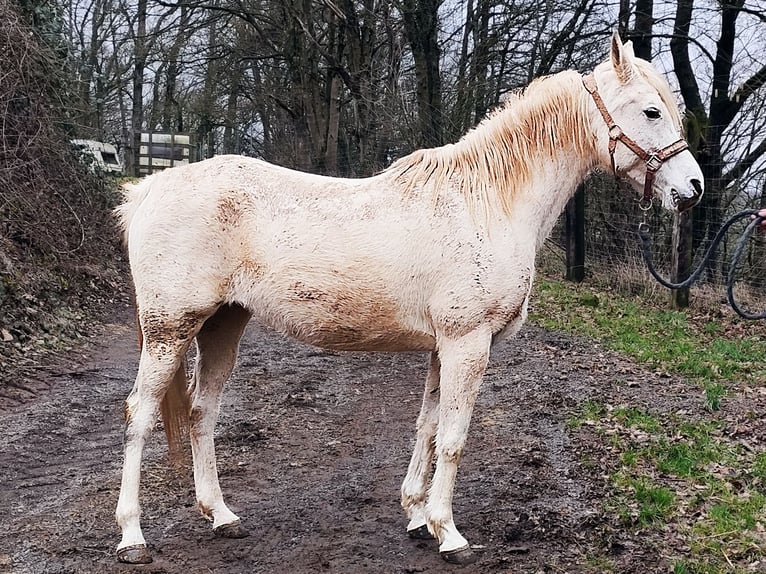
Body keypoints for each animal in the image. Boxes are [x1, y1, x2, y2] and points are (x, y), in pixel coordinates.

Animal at [115, 35, 708, 568]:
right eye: (651, 110)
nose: (694, 188)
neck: (488, 202)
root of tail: (145, 193)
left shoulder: (442, 348)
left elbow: (427, 426)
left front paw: (418, 516)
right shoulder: (468, 344)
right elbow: (453, 437)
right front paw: (450, 534)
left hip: (223, 326)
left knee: (201, 413)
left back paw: (221, 516)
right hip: (170, 330)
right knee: (140, 415)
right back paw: (132, 538)